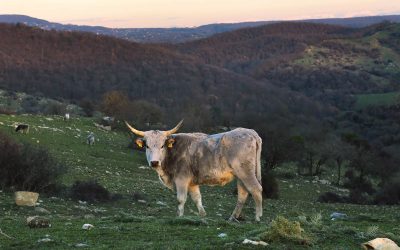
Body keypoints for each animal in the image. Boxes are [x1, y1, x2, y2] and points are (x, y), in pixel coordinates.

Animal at [125, 120, 262, 222]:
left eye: (162, 145)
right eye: (147, 146)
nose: (154, 162)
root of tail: (249, 132)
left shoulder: (181, 179)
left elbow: (181, 199)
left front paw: (179, 217)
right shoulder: (192, 183)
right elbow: (197, 198)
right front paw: (202, 215)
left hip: (246, 172)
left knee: (256, 189)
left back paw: (257, 217)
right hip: (240, 175)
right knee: (243, 194)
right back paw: (233, 218)